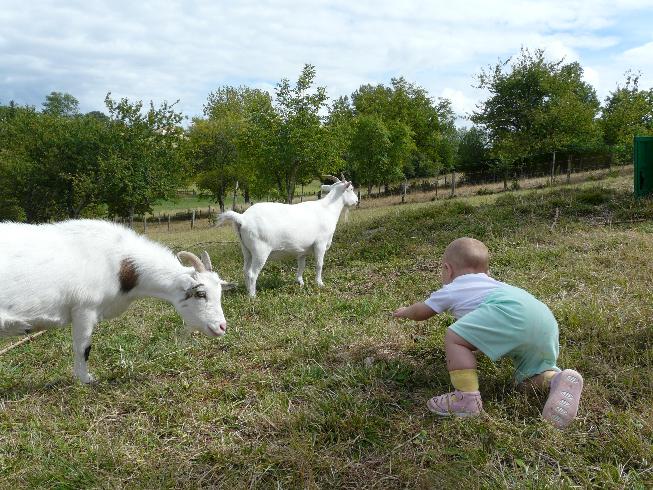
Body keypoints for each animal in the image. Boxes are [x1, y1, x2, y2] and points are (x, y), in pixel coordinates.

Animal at [0, 220, 234, 384]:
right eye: (201, 294)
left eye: (219, 292)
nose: (222, 327)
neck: (120, 265)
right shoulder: (84, 309)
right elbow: (83, 347)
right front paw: (86, 380)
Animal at [216, 176, 356, 298]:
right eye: (351, 188)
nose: (356, 201)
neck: (327, 209)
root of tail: (242, 218)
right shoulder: (320, 244)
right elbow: (319, 264)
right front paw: (320, 283)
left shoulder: (302, 250)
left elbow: (301, 265)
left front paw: (300, 282)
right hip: (260, 251)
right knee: (252, 273)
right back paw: (253, 296)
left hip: (246, 249)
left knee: (245, 270)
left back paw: (247, 290)